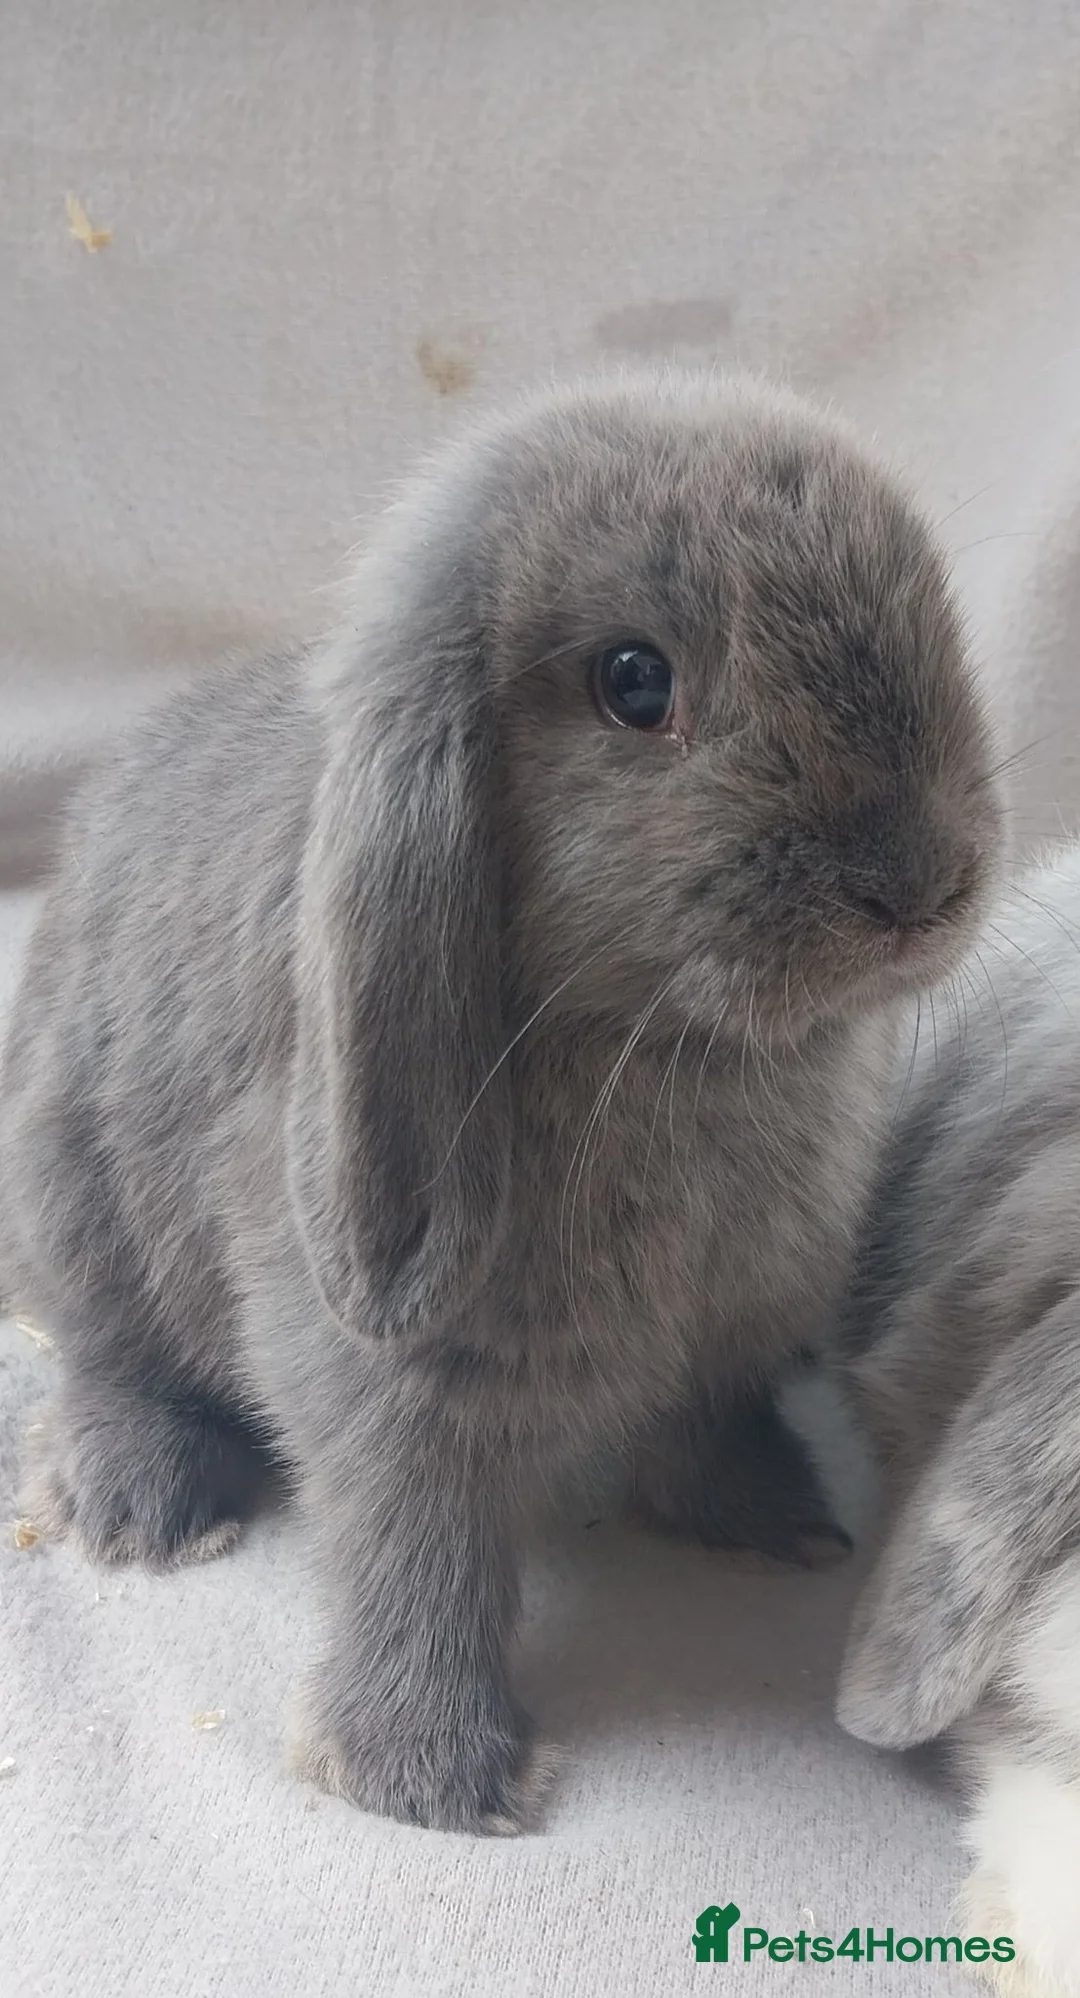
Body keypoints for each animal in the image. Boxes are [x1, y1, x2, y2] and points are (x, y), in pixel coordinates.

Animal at [0, 366, 999, 1835]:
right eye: (635, 683)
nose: (919, 883)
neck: (665, 1050)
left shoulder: (728, 1336)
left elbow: (711, 1421)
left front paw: (777, 1525)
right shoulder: (390, 1375)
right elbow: (418, 1547)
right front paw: (431, 1779)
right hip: (75, 1192)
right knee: (108, 1351)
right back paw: (143, 1509)